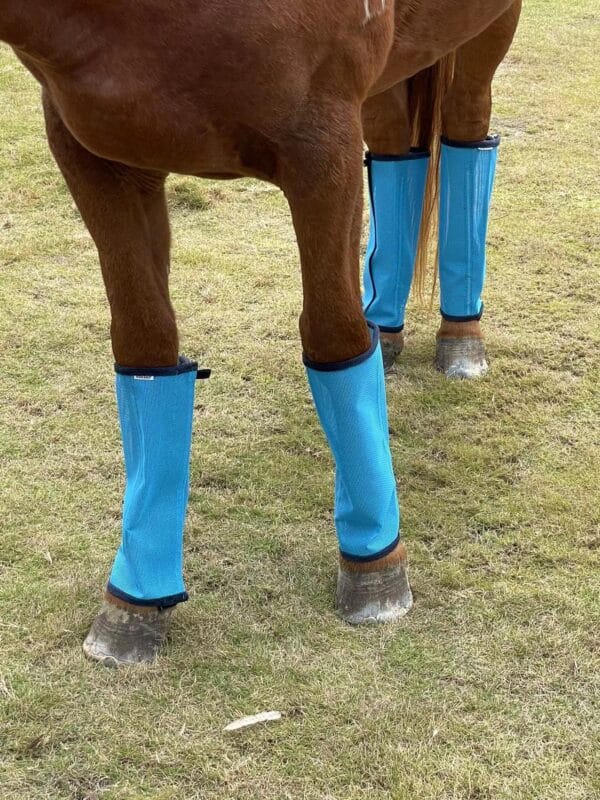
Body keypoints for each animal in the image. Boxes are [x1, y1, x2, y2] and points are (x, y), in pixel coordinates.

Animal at [1, 0, 522, 666]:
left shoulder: (320, 149)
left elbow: (333, 337)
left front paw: (375, 566)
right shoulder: (100, 162)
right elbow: (145, 344)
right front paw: (135, 601)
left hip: (484, 36)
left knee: (466, 135)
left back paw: (461, 341)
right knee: (394, 152)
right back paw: (386, 329)